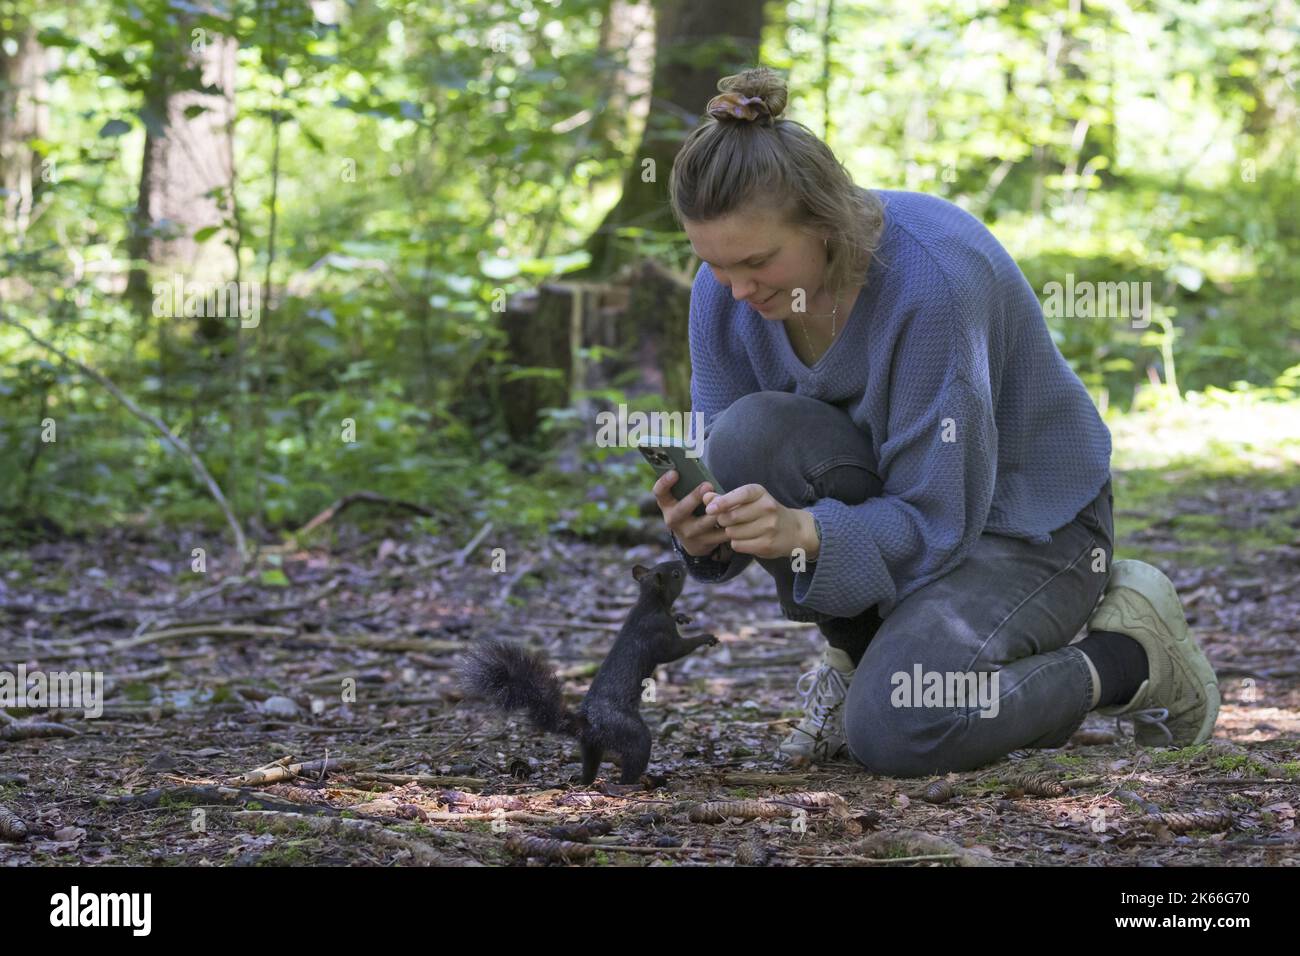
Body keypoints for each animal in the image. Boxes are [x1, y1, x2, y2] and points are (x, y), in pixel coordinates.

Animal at [457, 556, 722, 790]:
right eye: (675, 574)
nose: (683, 564)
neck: (650, 602)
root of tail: (587, 724)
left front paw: (682, 615)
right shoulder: (659, 632)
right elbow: (675, 651)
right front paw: (706, 637)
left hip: (591, 746)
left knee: (590, 765)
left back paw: (584, 781)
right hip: (627, 730)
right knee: (635, 755)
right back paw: (633, 785)